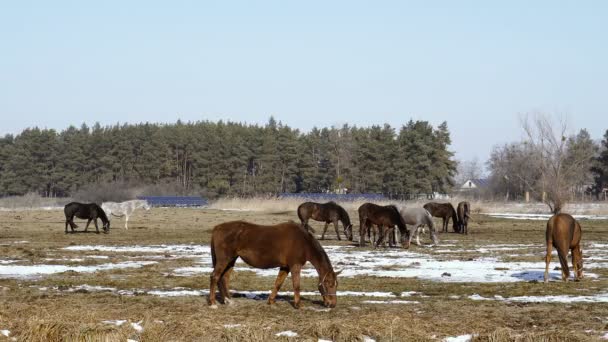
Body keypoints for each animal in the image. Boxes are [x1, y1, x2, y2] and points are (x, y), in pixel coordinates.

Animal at [209, 220, 342, 308]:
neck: (303, 242)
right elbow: (296, 285)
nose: (332, 304)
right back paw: (213, 303)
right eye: (329, 284)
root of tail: (217, 228)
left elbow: (278, 283)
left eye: (336, 284)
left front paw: (271, 301)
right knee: (215, 276)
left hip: (231, 259)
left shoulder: (285, 267)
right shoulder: (295, 266)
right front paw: (298, 304)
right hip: (224, 259)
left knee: (224, 278)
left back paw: (228, 300)